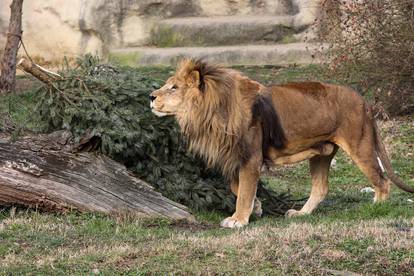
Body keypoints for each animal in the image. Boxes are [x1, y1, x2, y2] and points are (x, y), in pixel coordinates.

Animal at [150, 58, 414, 229]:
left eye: (174, 87)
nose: (151, 96)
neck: (211, 113)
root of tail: (364, 101)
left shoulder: (251, 157)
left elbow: (243, 191)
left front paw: (238, 220)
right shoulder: (236, 156)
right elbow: (238, 188)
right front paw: (256, 208)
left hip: (359, 145)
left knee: (381, 180)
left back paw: (376, 208)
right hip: (322, 153)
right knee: (321, 188)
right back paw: (300, 214)